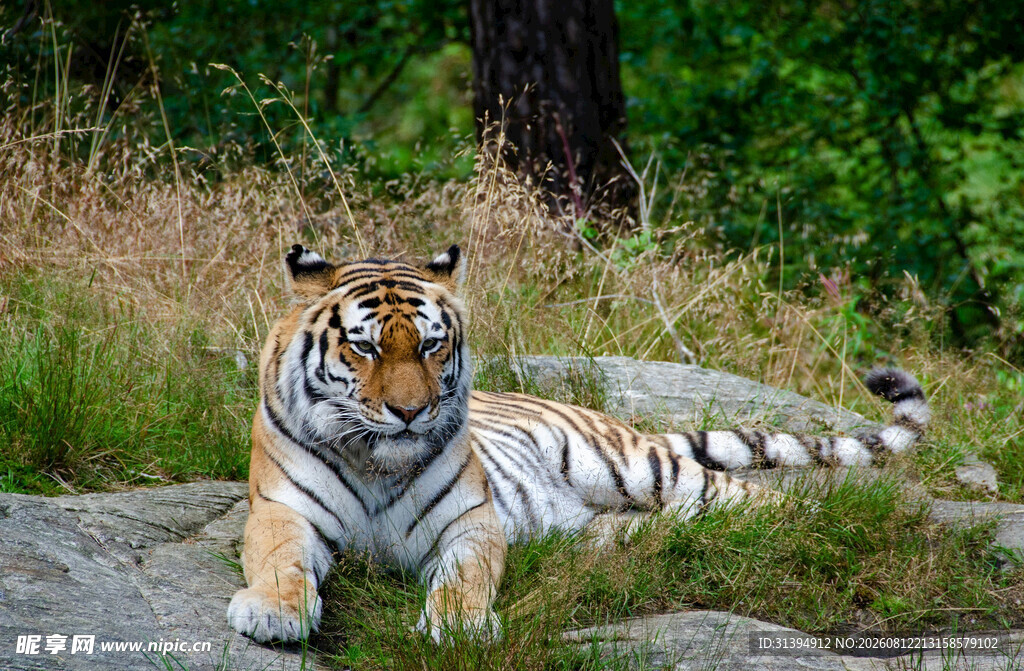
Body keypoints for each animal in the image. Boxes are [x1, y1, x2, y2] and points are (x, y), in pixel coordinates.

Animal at [226, 243, 930, 644]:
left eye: (430, 345)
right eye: (366, 347)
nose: (409, 412)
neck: (378, 462)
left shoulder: (468, 522)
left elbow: (464, 578)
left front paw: (458, 625)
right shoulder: (281, 511)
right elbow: (281, 563)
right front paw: (274, 613)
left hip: (639, 468)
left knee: (773, 503)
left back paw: (812, 528)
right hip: (612, 520)